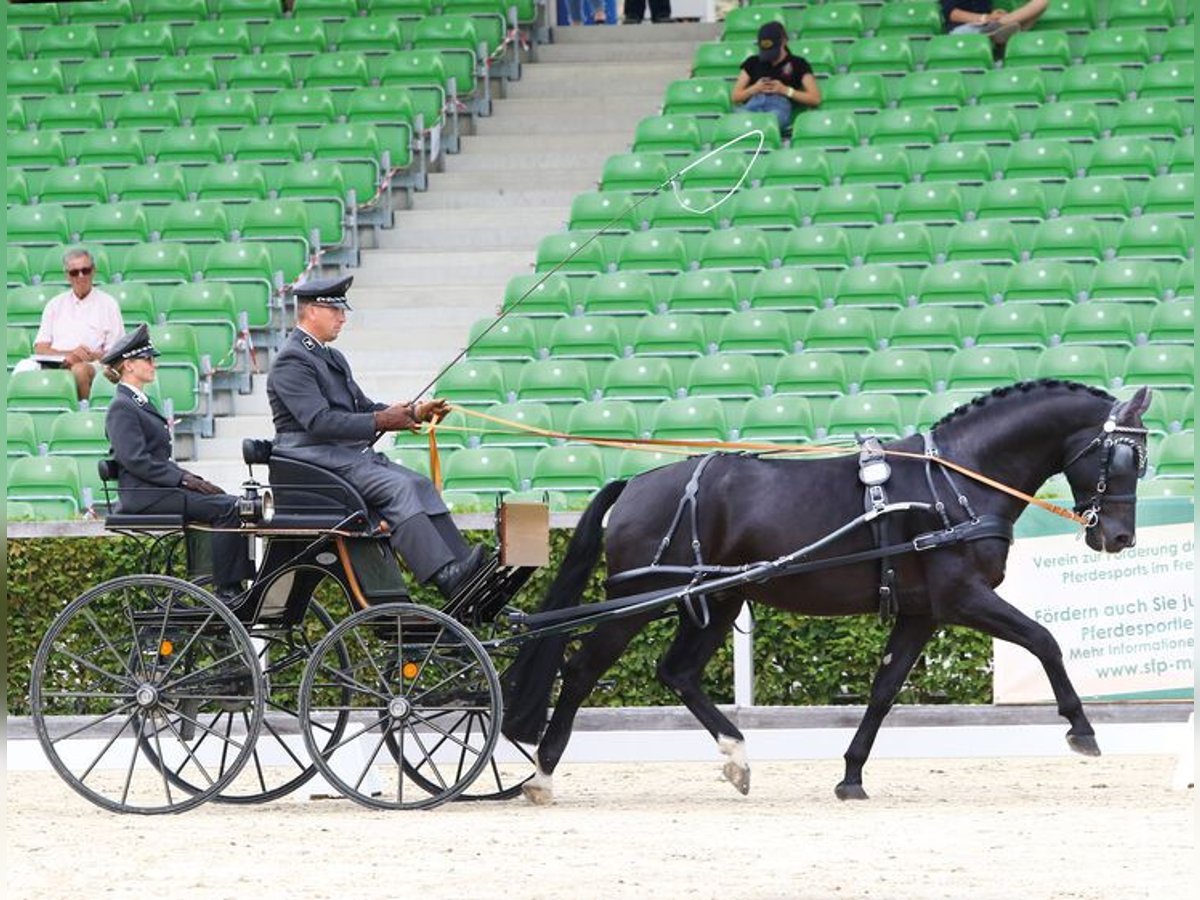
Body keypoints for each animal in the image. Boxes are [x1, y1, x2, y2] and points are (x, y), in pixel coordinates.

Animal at [499, 381, 1152, 801]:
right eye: (1123, 456)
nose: (1119, 537)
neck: (953, 484)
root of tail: (636, 482)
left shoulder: (921, 613)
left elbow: (885, 690)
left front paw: (851, 775)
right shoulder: (963, 598)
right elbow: (1044, 641)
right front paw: (1082, 730)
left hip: (718, 600)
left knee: (677, 671)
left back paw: (736, 758)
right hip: (640, 601)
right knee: (582, 670)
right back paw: (544, 775)